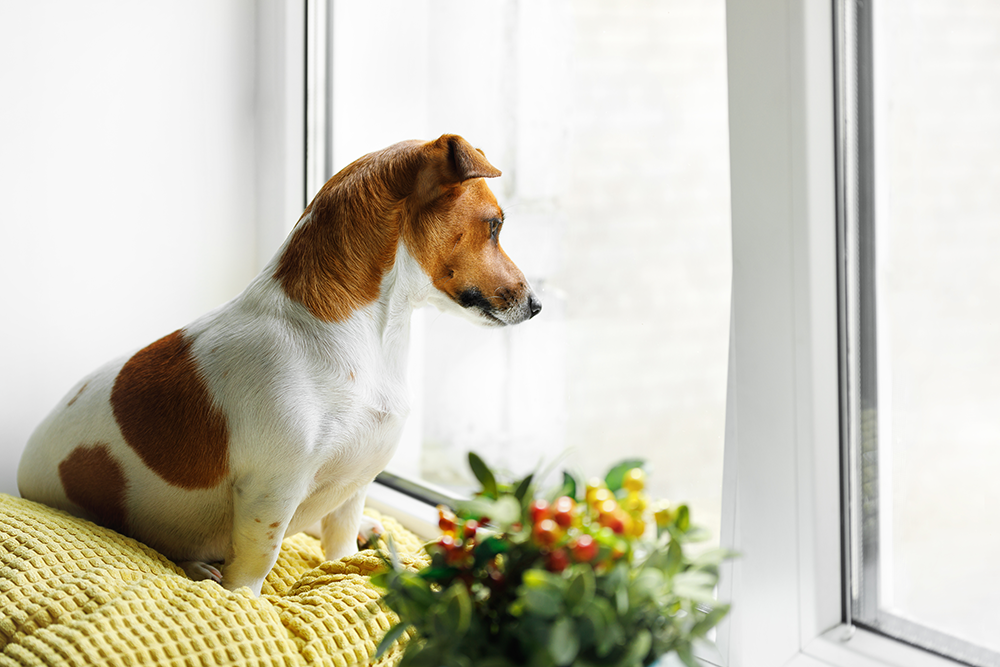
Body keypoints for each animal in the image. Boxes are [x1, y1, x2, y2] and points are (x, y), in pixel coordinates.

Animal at [15, 134, 540, 596]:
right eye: (495, 226)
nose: (537, 306)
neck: (370, 341)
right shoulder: (273, 490)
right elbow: (256, 560)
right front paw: (242, 600)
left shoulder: (354, 482)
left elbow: (340, 541)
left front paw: (345, 564)